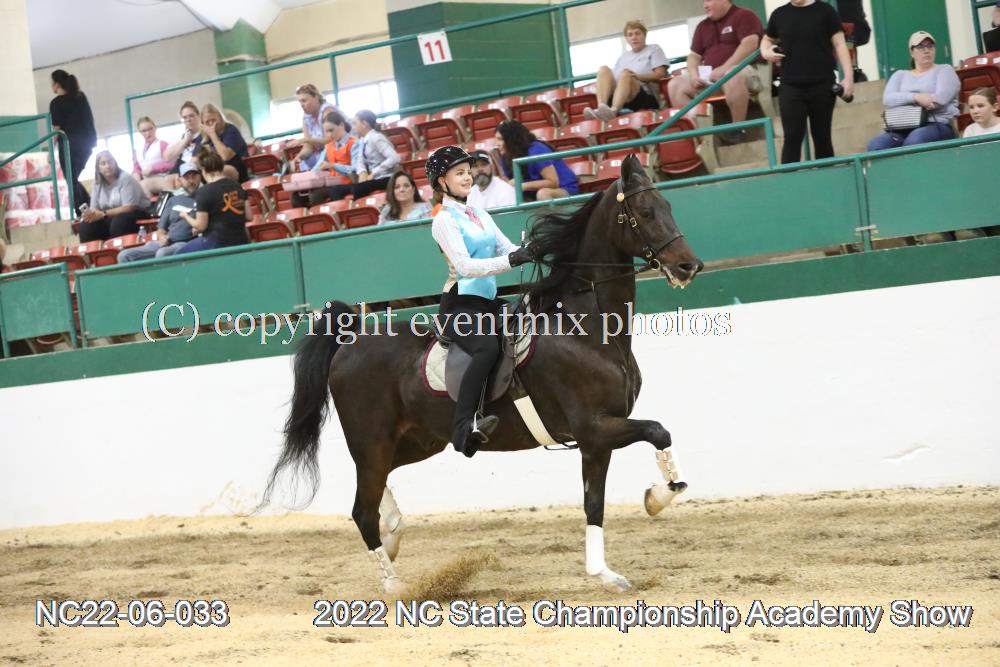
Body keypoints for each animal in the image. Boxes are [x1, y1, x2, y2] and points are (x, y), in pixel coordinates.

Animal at [263, 154, 703, 592]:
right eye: (645, 212)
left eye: (668, 206)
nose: (689, 266)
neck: (584, 329)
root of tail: (352, 338)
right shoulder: (594, 427)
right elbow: (657, 431)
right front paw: (656, 499)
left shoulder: (597, 439)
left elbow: (595, 502)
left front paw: (607, 570)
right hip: (372, 440)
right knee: (361, 508)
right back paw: (394, 584)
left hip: (417, 440)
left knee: (377, 488)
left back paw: (393, 533)